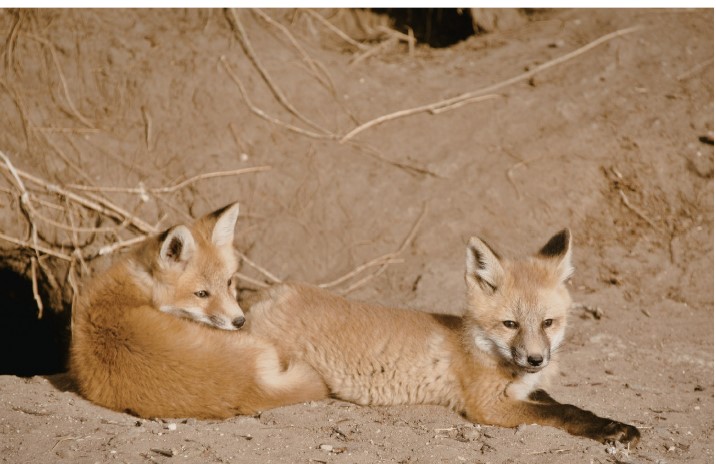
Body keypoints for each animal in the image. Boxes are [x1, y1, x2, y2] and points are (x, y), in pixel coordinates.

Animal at [247, 229, 640, 445]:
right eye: (510, 324)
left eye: (548, 323)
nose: (535, 360)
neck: (481, 348)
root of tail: (271, 293)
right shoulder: (487, 406)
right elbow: (561, 413)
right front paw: (609, 430)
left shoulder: (523, 390)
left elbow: (568, 405)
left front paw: (614, 424)